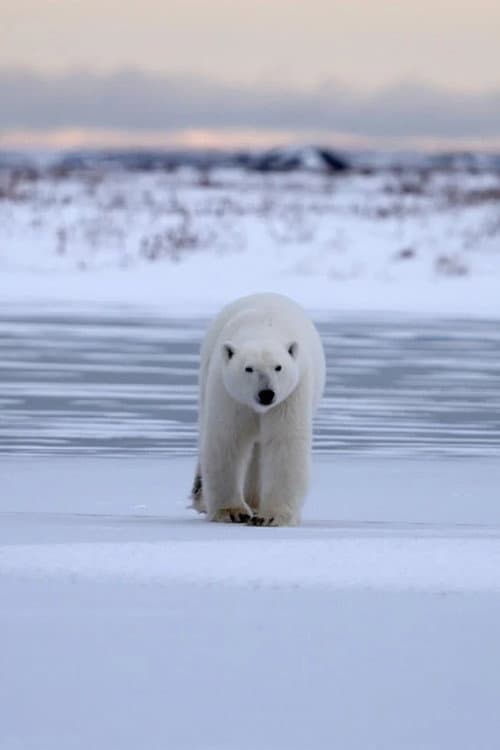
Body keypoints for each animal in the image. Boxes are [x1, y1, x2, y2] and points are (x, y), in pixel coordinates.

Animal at [190, 292, 326, 526]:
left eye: (278, 367)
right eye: (249, 368)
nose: (266, 393)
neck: (263, 327)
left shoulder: (290, 396)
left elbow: (284, 443)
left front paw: (272, 516)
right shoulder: (229, 393)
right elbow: (227, 440)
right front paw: (232, 511)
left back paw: (254, 504)